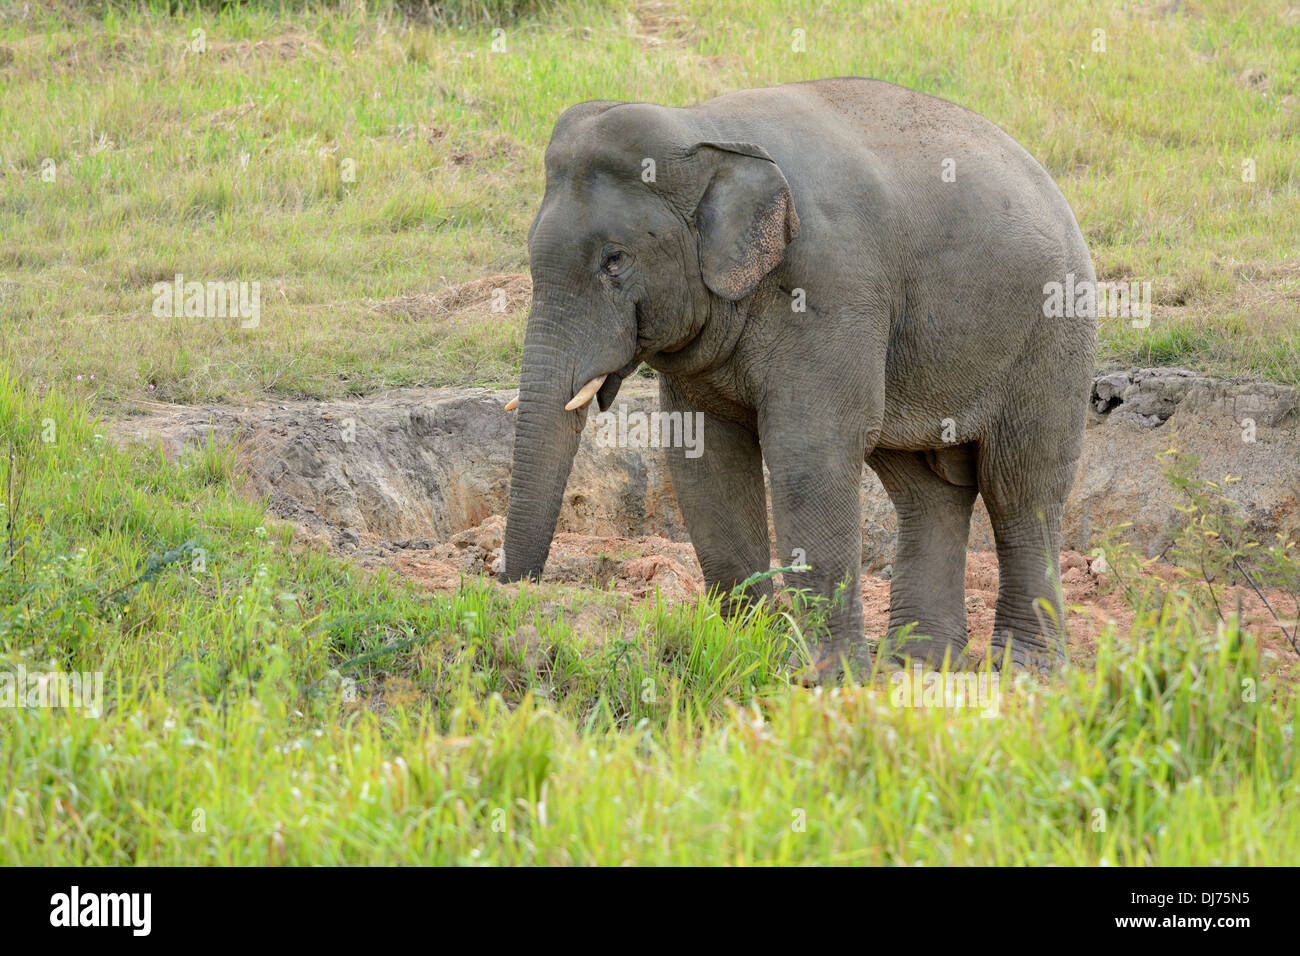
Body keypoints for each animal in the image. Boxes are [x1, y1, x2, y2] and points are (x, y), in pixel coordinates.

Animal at [498, 77, 1097, 679]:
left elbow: (809, 451)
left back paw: (1025, 668)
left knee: (1020, 486)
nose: (517, 592)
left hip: (1052, 333)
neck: (703, 130)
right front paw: (749, 651)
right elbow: (703, 457)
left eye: (614, 260)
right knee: (927, 491)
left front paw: (830, 676)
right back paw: (917, 665)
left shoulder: (832, 286)